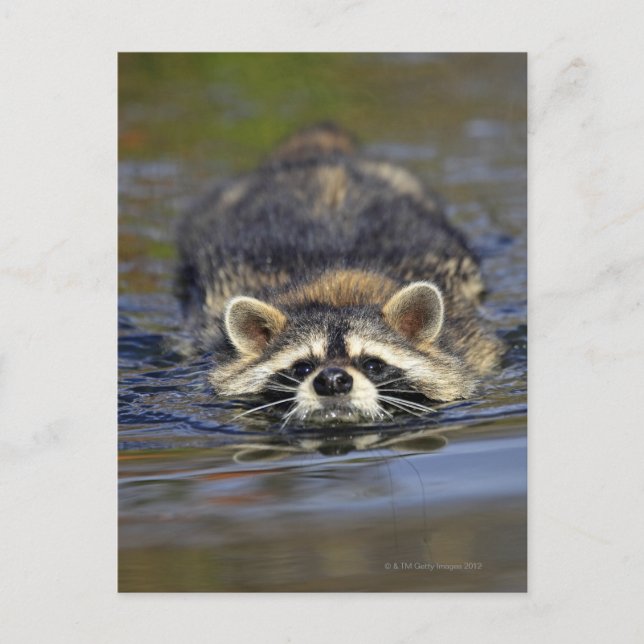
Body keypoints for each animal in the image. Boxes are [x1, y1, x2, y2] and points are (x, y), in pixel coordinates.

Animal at [176, 124, 503, 424]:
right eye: (302, 367)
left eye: (372, 364)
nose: (332, 380)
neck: (337, 287)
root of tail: (322, 155)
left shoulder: (473, 345)